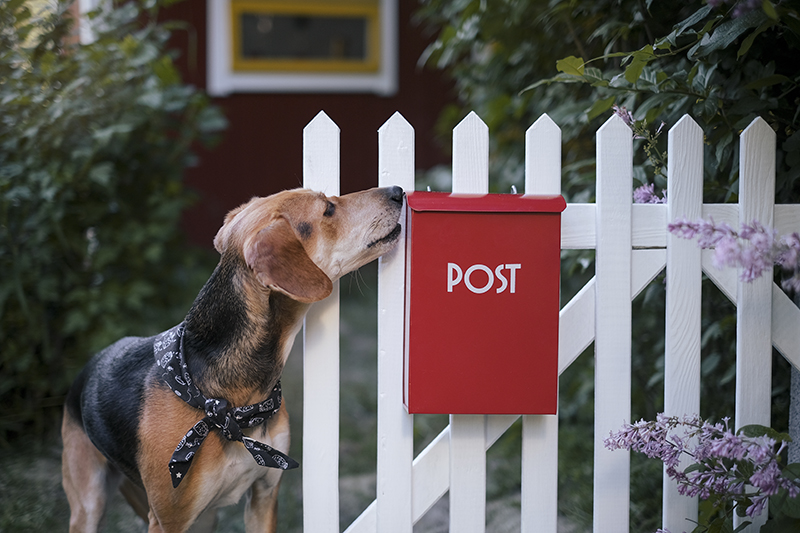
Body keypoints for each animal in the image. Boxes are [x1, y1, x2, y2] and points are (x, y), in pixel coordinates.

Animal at [61, 185, 406, 528]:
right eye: (327, 210)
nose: (398, 191)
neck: (231, 402)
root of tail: (87, 367)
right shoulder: (169, 521)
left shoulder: (264, 497)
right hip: (88, 504)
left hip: (204, 519)